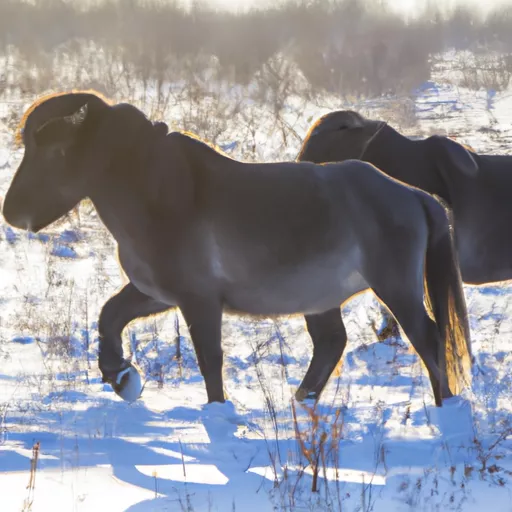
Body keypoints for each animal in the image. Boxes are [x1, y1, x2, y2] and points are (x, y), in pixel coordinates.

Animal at [2, 92, 472, 408]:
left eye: (56, 151)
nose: (12, 212)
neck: (166, 196)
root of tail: (413, 195)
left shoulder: (199, 300)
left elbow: (209, 359)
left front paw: (216, 414)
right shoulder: (157, 294)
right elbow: (109, 316)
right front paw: (121, 377)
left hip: (396, 289)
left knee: (428, 338)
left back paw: (444, 409)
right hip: (321, 299)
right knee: (331, 344)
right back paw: (301, 403)